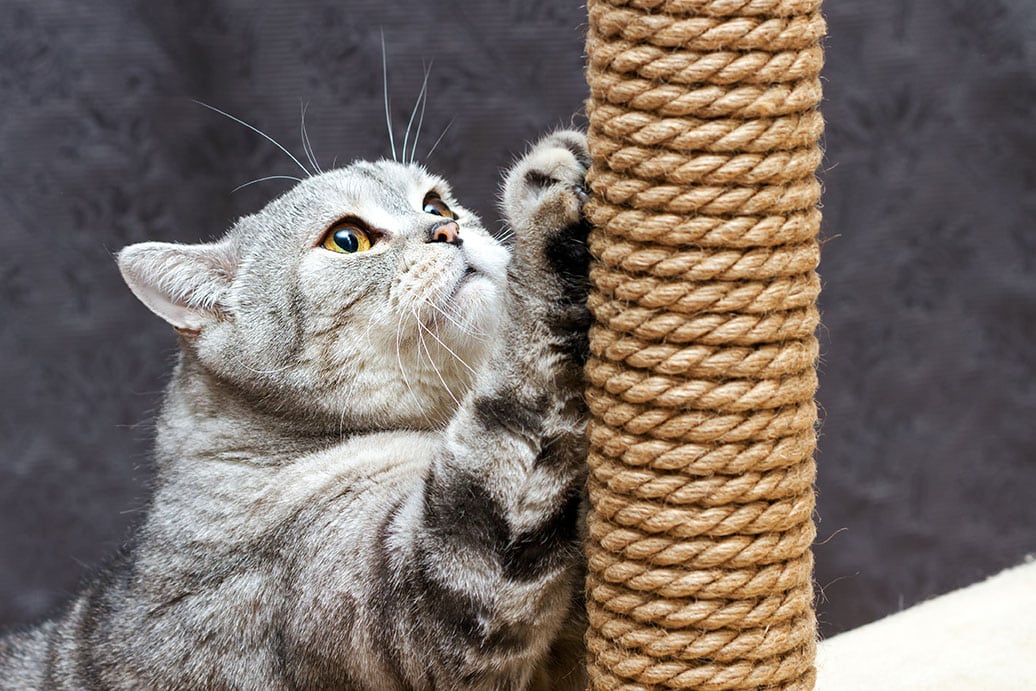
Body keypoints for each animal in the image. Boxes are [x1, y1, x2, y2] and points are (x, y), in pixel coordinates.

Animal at [0, 128, 592, 687]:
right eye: (347, 240)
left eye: (436, 205)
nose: (449, 230)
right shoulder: (442, 593)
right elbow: (529, 365)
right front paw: (549, 200)